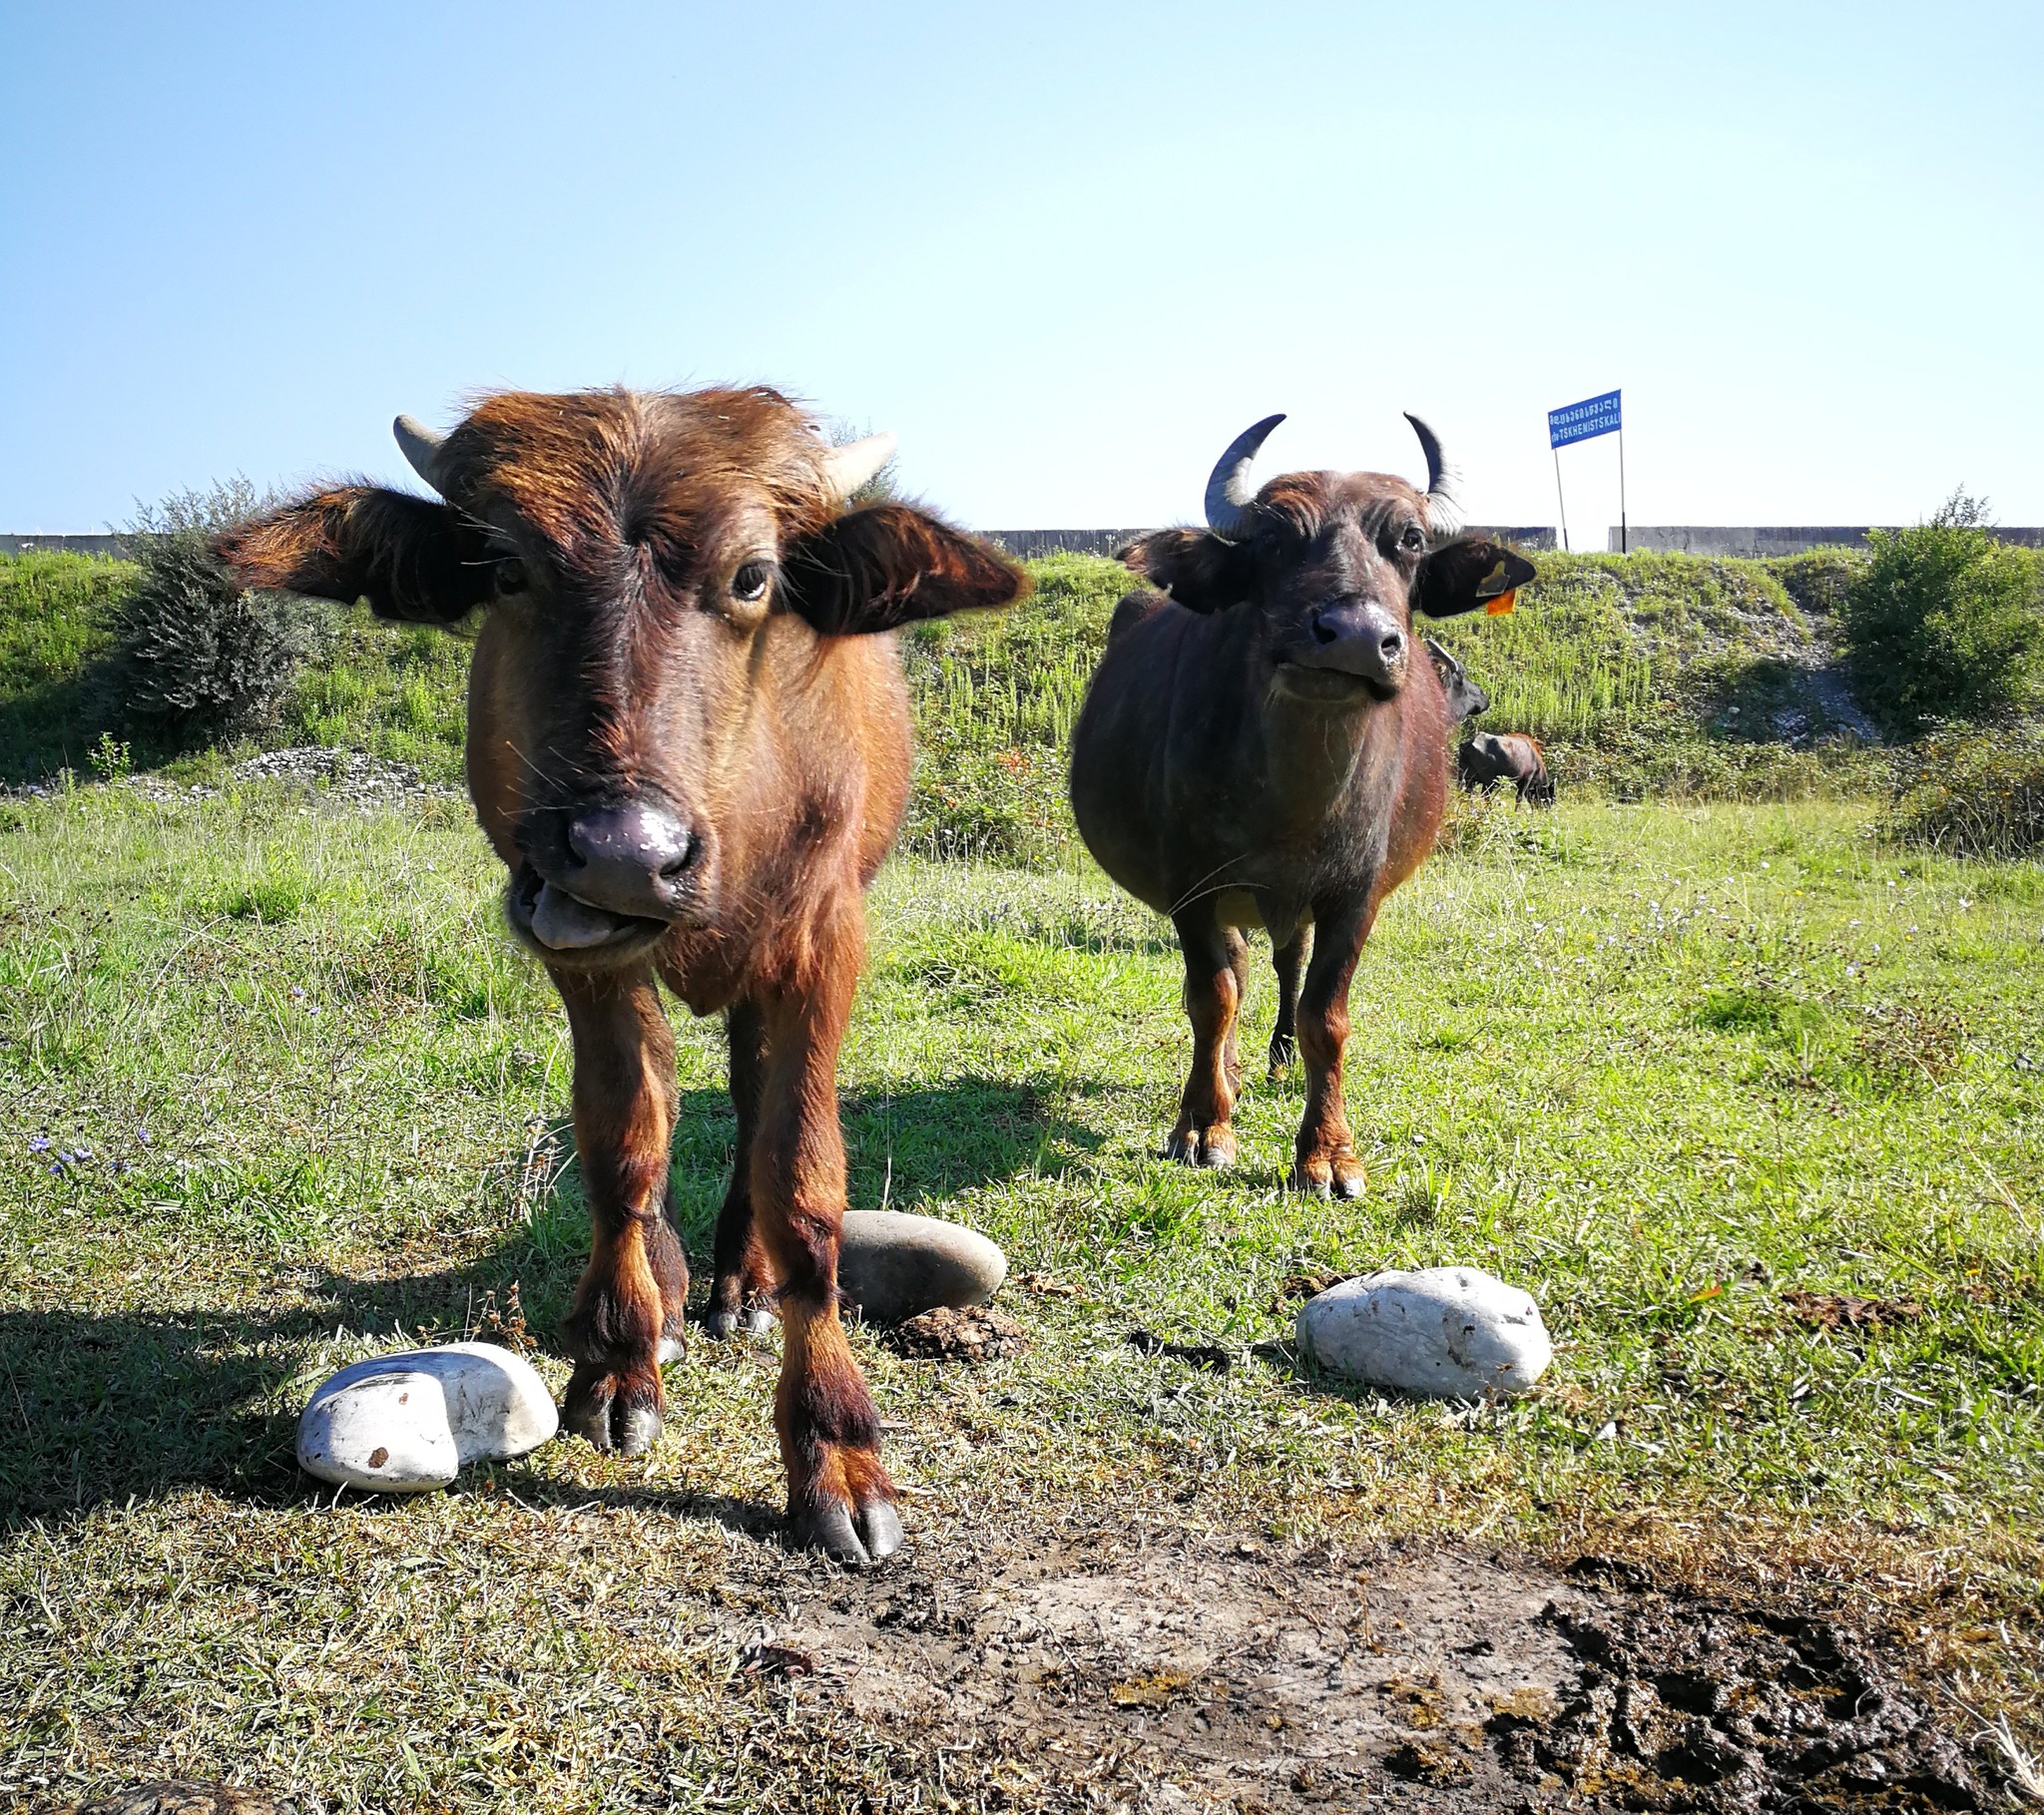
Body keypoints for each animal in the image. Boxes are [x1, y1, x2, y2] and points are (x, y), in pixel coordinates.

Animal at [216, 382, 1030, 1561]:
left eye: (753, 576)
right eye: (508, 568)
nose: (622, 853)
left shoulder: (825, 942)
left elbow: (802, 1183)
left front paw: (837, 1449)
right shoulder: (580, 953)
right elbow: (623, 1140)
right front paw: (619, 1360)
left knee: (746, 1095)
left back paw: (738, 1286)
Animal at [1071, 418, 1537, 1201]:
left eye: (1411, 539)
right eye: (1273, 537)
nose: (1355, 636)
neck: (1293, 799)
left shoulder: (1355, 894)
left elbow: (1328, 1015)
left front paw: (1327, 1153)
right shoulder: (1192, 887)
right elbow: (1212, 997)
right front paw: (1204, 1126)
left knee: (1286, 967)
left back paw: (1278, 1058)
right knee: (1234, 973)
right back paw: (1225, 1075)